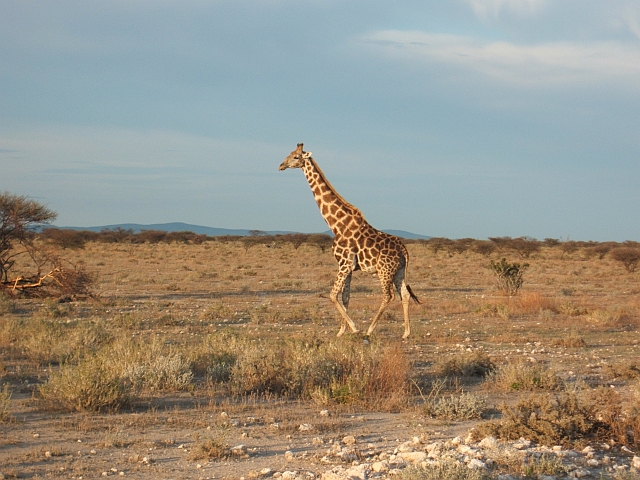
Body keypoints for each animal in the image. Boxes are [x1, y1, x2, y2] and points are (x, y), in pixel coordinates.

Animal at [279, 143, 420, 339]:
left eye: (296, 157)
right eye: (290, 154)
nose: (281, 165)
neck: (336, 224)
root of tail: (404, 251)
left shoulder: (344, 263)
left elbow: (332, 295)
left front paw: (354, 327)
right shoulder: (349, 267)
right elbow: (345, 297)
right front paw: (341, 331)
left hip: (384, 271)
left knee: (388, 295)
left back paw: (369, 329)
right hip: (399, 271)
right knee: (404, 294)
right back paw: (406, 332)